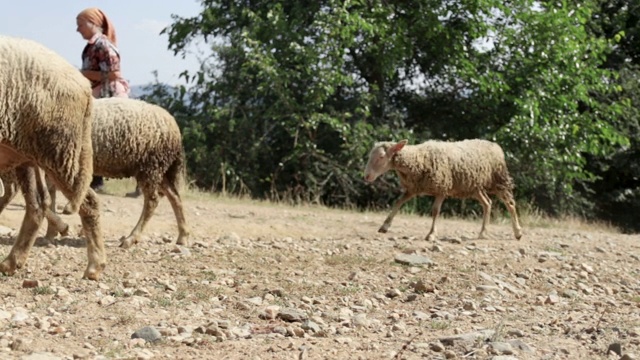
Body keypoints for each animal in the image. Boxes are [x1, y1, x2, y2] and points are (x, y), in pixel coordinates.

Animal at [0, 35, 106, 280]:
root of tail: (84, 85)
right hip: (25, 153)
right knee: (38, 203)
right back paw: (12, 262)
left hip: (59, 149)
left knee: (89, 202)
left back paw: (95, 266)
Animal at [0, 97, 190, 249]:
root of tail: (174, 128)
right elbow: (49, 195)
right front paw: (51, 233)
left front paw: (59, 228)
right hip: (160, 168)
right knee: (175, 196)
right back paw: (183, 236)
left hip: (151, 166)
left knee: (152, 201)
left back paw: (131, 239)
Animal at [362, 139, 524, 240]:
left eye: (381, 157)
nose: (366, 176)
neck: (419, 158)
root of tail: (495, 145)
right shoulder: (413, 188)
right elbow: (398, 203)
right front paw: (384, 226)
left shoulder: (442, 188)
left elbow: (435, 211)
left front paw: (431, 234)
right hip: (473, 186)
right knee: (487, 203)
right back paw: (483, 233)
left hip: (498, 180)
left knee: (510, 204)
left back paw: (517, 232)